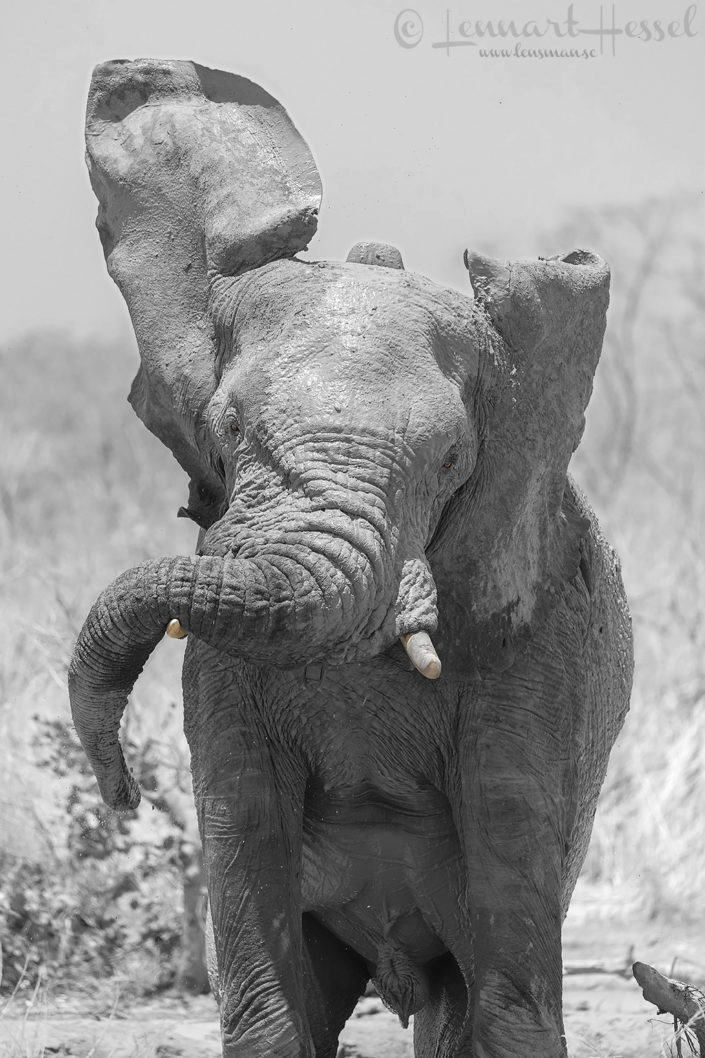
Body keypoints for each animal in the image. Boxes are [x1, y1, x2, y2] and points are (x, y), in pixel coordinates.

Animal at [69, 58, 633, 1058]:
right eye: (228, 427)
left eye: (450, 460)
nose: (121, 791)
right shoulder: (221, 680)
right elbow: (258, 929)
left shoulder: (537, 654)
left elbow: (509, 975)